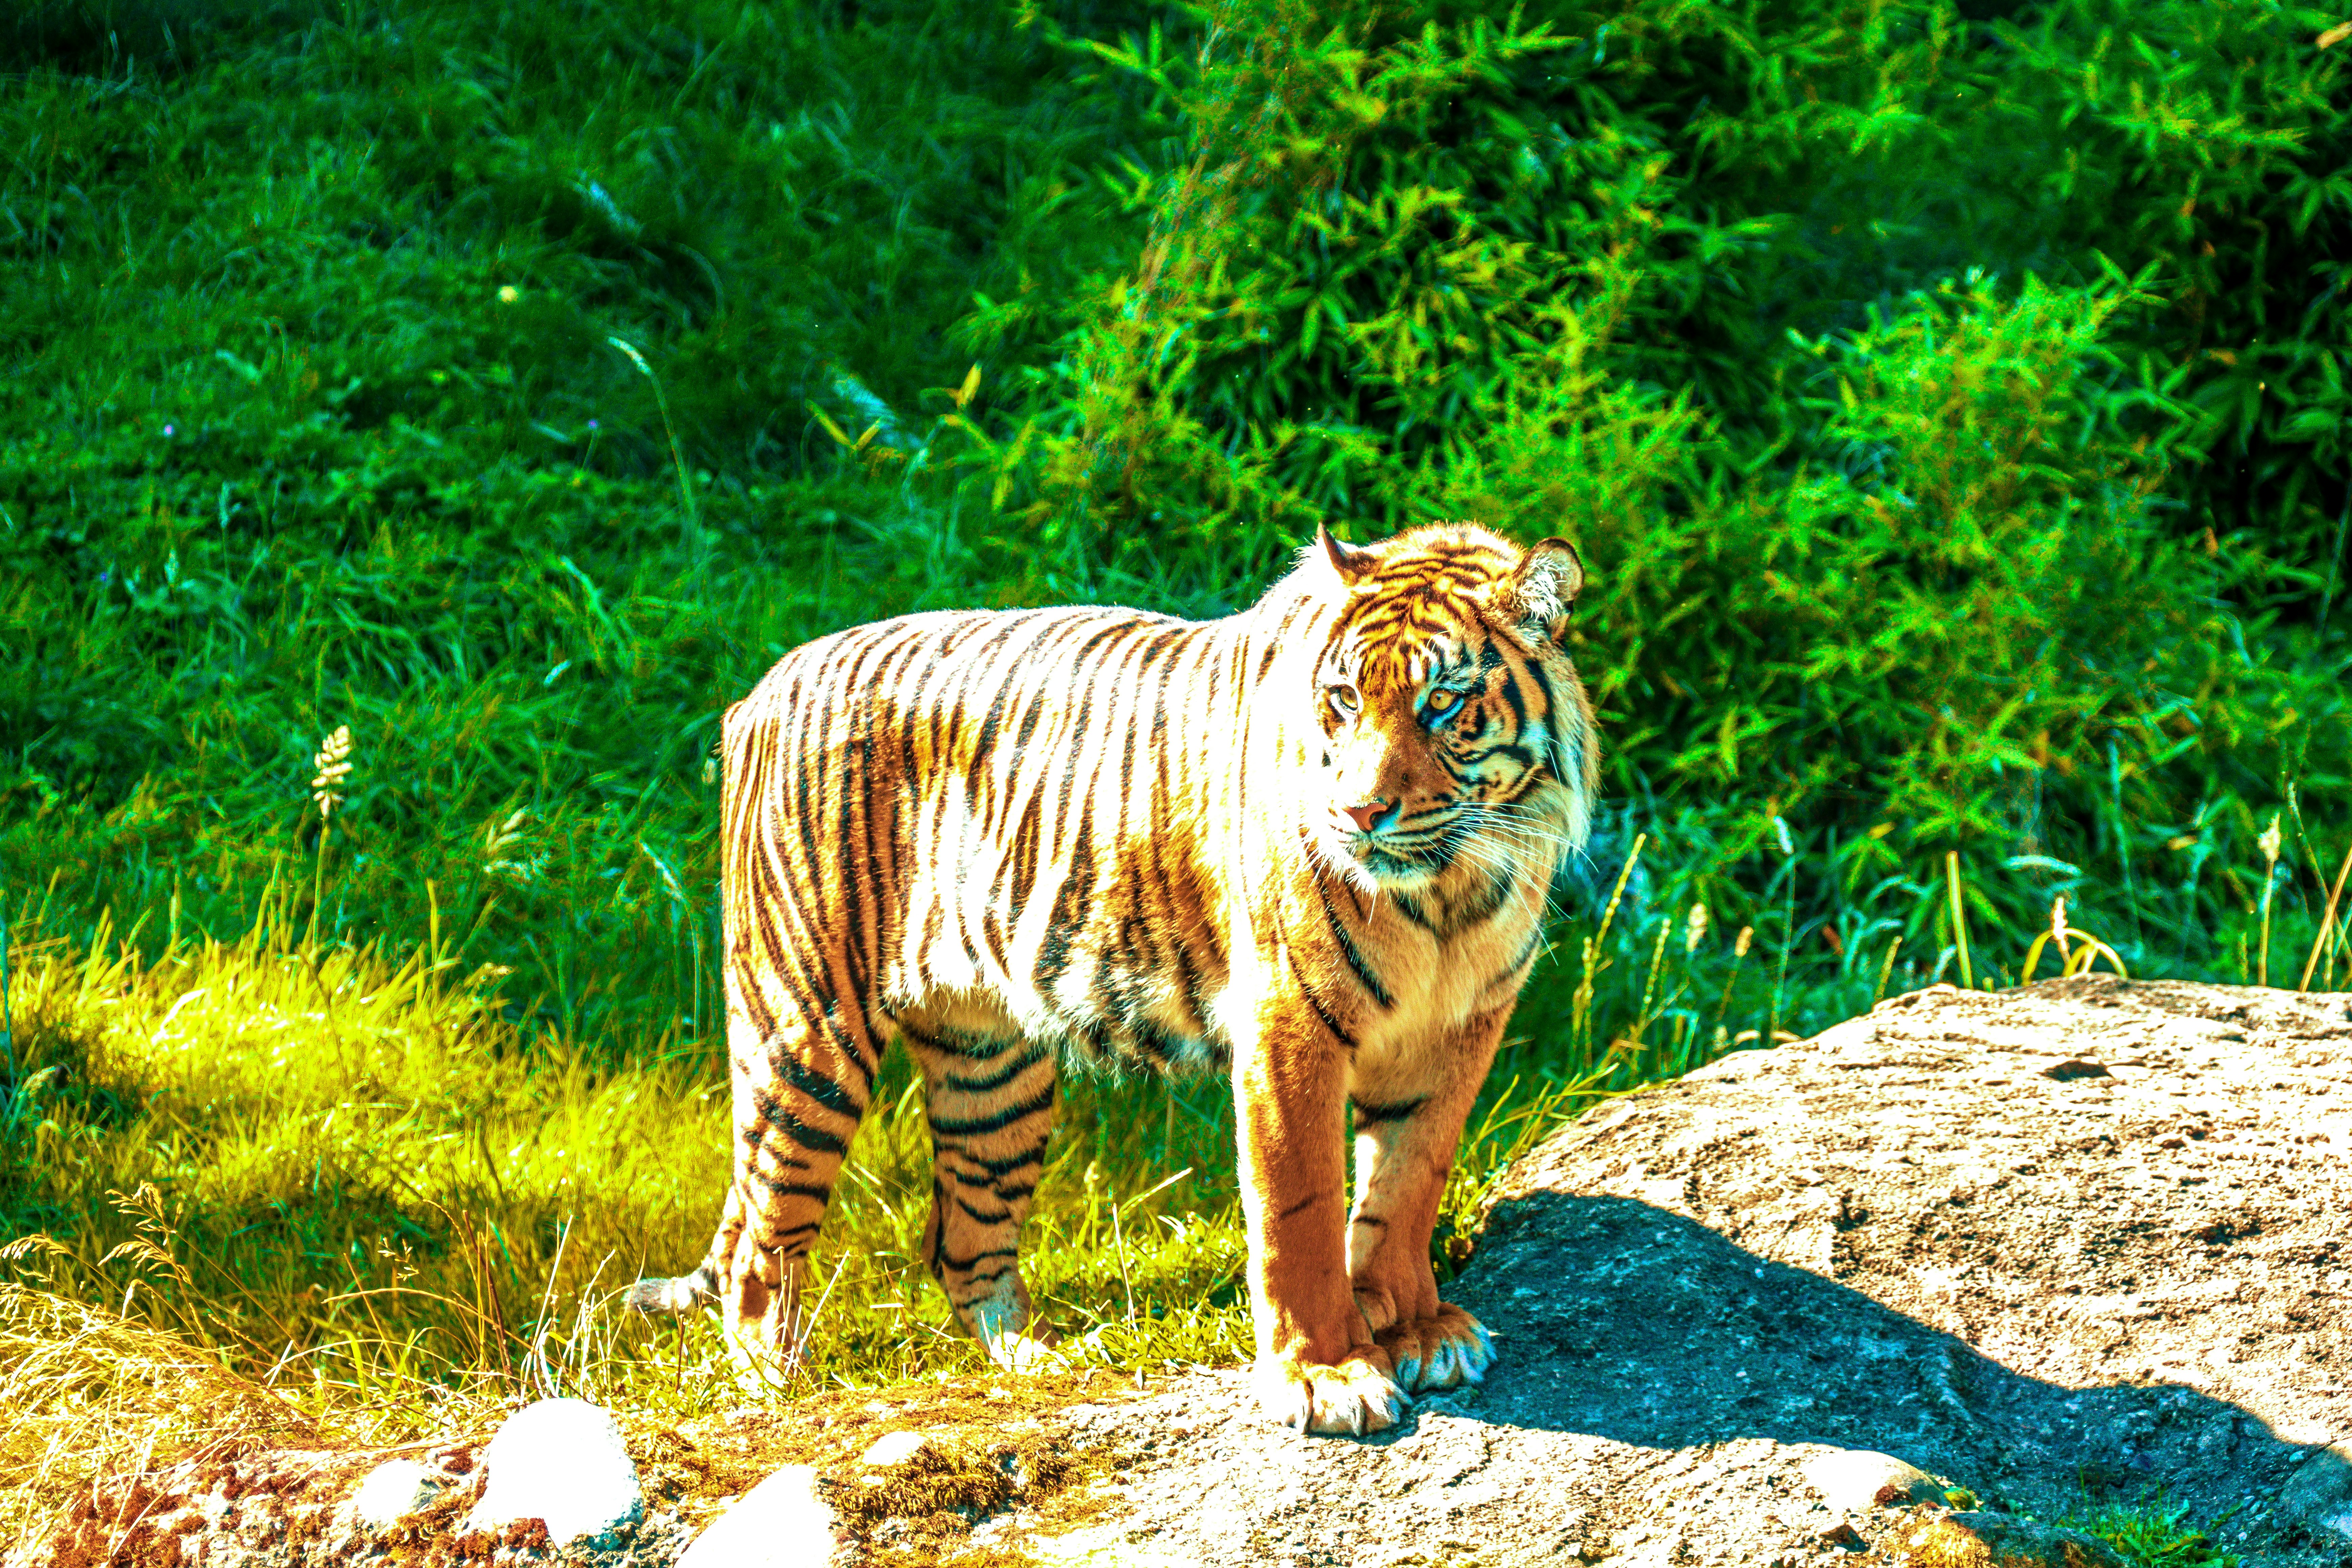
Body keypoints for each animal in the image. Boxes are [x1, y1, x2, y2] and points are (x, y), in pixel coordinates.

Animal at [627, 520, 1599, 1435]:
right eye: (1346, 699)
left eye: (1443, 703)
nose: (1359, 812)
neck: (1449, 892)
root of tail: (766, 685)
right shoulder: (1289, 1024)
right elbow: (1303, 1209)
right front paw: (1326, 1374)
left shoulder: (1460, 1028)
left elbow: (1407, 1185)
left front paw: (1417, 1331)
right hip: (806, 1031)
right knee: (762, 1243)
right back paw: (778, 1384)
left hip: (992, 1071)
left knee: (961, 1243)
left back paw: (1042, 1359)